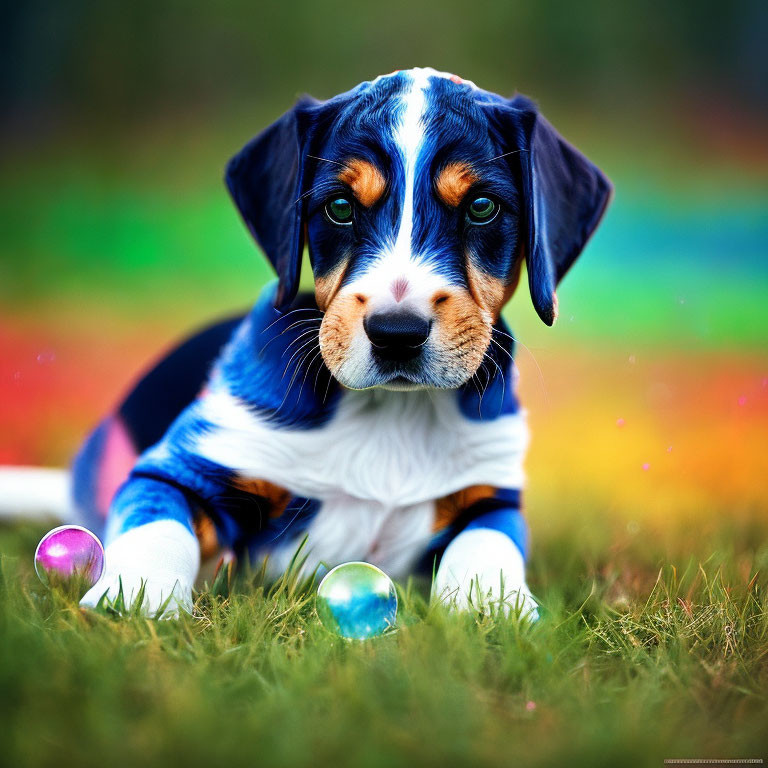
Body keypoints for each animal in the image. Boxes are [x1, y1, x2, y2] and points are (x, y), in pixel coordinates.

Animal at [73, 66, 612, 616]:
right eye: (339, 207)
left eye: (482, 207)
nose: (397, 333)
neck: (392, 416)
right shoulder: (182, 466)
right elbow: (157, 529)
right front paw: (136, 596)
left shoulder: (491, 493)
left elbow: (488, 543)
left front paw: (491, 607)